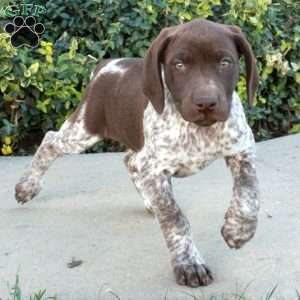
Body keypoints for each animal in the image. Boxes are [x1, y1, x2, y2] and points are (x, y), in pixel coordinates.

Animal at [15, 19, 260, 288]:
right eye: (179, 65)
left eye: (225, 62)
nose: (206, 103)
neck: (199, 131)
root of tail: (106, 66)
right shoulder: (154, 169)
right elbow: (175, 218)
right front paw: (188, 263)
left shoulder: (242, 150)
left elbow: (249, 194)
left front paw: (239, 230)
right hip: (83, 130)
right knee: (50, 141)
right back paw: (26, 187)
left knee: (130, 161)